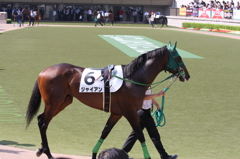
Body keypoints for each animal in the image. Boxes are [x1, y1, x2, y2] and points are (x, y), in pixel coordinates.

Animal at [26, 41, 190, 158]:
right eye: (179, 57)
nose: (187, 75)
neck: (132, 78)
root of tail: (43, 71)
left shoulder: (116, 113)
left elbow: (105, 132)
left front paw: (94, 153)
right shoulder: (130, 112)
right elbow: (140, 134)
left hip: (64, 101)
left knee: (41, 119)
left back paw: (41, 149)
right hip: (54, 103)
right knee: (43, 123)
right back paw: (48, 153)